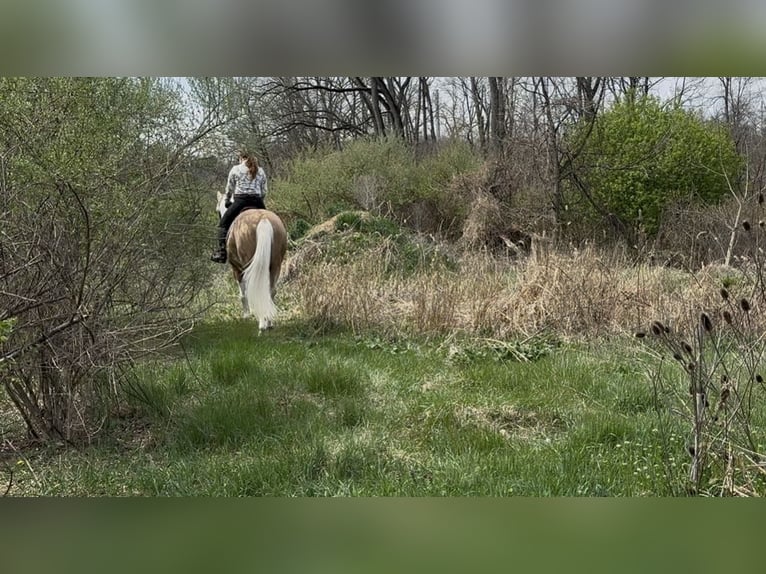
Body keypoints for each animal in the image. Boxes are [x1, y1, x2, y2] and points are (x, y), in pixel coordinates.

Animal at [217, 194, 288, 332]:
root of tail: (263, 220)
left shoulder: (236, 268)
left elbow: (243, 294)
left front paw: (246, 315)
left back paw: (262, 323)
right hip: (275, 265)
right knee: (270, 291)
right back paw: (269, 322)